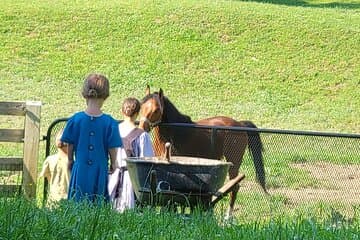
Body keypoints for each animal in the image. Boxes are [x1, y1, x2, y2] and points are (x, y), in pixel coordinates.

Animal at [139, 85, 266, 217]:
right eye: (141, 106)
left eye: (156, 110)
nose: (142, 127)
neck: (176, 132)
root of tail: (240, 124)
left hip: (234, 163)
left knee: (235, 187)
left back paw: (228, 216)